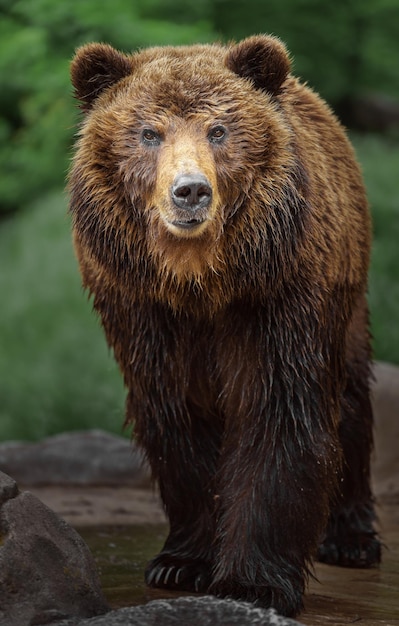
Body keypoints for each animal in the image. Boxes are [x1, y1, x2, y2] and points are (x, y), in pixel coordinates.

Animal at [69, 35, 382, 616]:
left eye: (218, 130)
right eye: (149, 133)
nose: (190, 191)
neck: (202, 282)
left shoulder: (278, 297)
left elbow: (278, 412)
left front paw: (253, 582)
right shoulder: (145, 312)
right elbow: (179, 419)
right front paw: (181, 563)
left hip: (347, 282)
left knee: (350, 400)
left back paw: (352, 539)